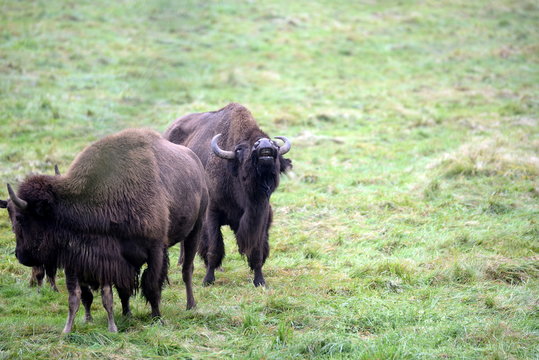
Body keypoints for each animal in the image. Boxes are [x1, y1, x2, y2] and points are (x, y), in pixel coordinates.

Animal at [0, 129, 209, 332]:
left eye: (20, 218)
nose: (20, 255)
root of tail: (195, 162)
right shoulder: (112, 258)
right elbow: (120, 289)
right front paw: (125, 315)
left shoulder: (155, 250)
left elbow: (151, 285)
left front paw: (157, 318)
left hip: (195, 229)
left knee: (187, 269)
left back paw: (191, 305)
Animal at [163, 103, 292, 286]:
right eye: (241, 150)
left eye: (273, 143)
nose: (264, 145)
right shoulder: (212, 214)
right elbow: (214, 248)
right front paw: (208, 280)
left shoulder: (262, 215)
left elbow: (257, 251)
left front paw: (259, 281)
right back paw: (183, 263)